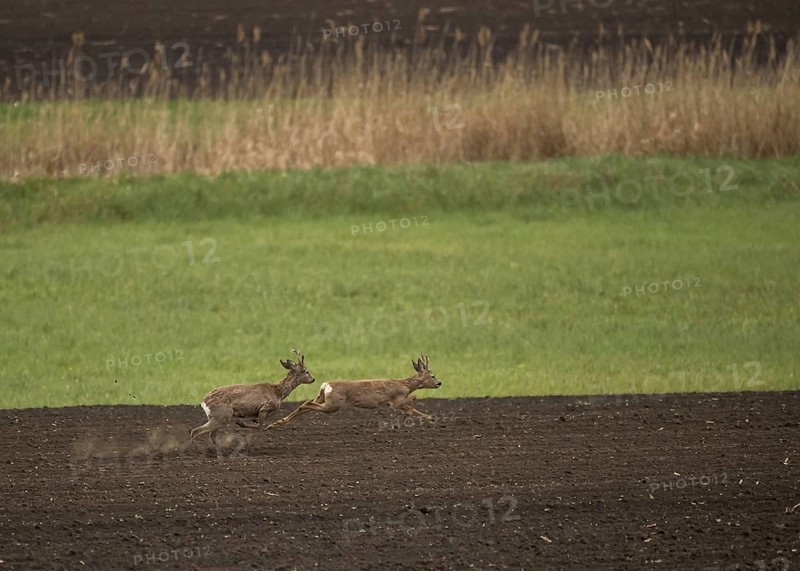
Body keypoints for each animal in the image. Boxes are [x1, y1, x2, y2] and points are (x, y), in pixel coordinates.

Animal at [266, 353, 441, 430]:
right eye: (432, 375)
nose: (439, 383)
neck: (405, 384)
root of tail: (326, 385)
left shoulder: (395, 402)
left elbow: (415, 406)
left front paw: (431, 417)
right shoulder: (395, 401)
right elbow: (414, 397)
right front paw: (404, 418)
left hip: (323, 399)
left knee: (304, 406)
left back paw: (276, 423)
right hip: (333, 405)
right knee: (306, 404)